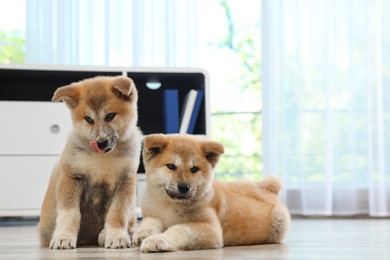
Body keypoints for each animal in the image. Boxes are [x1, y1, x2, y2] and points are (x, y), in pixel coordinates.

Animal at [37, 75, 142, 250]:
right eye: (88, 119)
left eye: (110, 116)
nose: (101, 143)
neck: (102, 159)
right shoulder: (71, 177)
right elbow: (69, 213)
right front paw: (63, 237)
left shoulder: (125, 182)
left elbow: (118, 213)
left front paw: (116, 236)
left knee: (130, 223)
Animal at [133, 134, 290, 252]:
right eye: (171, 166)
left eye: (194, 169)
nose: (184, 187)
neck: (168, 204)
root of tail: (267, 189)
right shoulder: (152, 213)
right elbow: (149, 222)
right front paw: (143, 233)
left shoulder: (209, 228)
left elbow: (179, 230)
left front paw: (158, 239)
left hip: (279, 223)